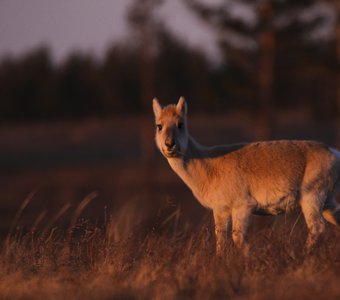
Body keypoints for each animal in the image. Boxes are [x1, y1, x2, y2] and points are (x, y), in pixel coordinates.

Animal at [153, 96, 340, 255]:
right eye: (159, 125)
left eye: (180, 124)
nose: (169, 144)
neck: (208, 165)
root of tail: (334, 152)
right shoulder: (220, 209)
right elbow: (220, 240)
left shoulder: (242, 205)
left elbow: (239, 238)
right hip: (327, 200)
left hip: (312, 195)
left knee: (317, 227)